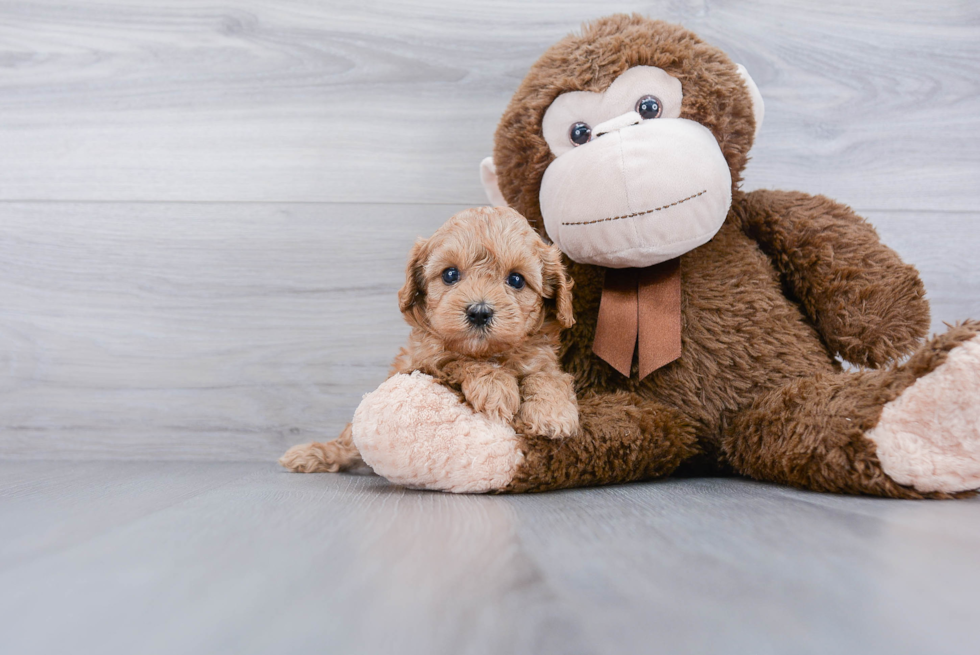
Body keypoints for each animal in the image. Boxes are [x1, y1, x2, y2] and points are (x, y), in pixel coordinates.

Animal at [280, 208, 580, 474]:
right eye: (450, 274)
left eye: (516, 280)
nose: (479, 312)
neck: (487, 352)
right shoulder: (423, 361)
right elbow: (457, 361)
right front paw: (495, 385)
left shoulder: (542, 359)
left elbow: (549, 377)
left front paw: (552, 413)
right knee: (346, 444)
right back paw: (313, 454)